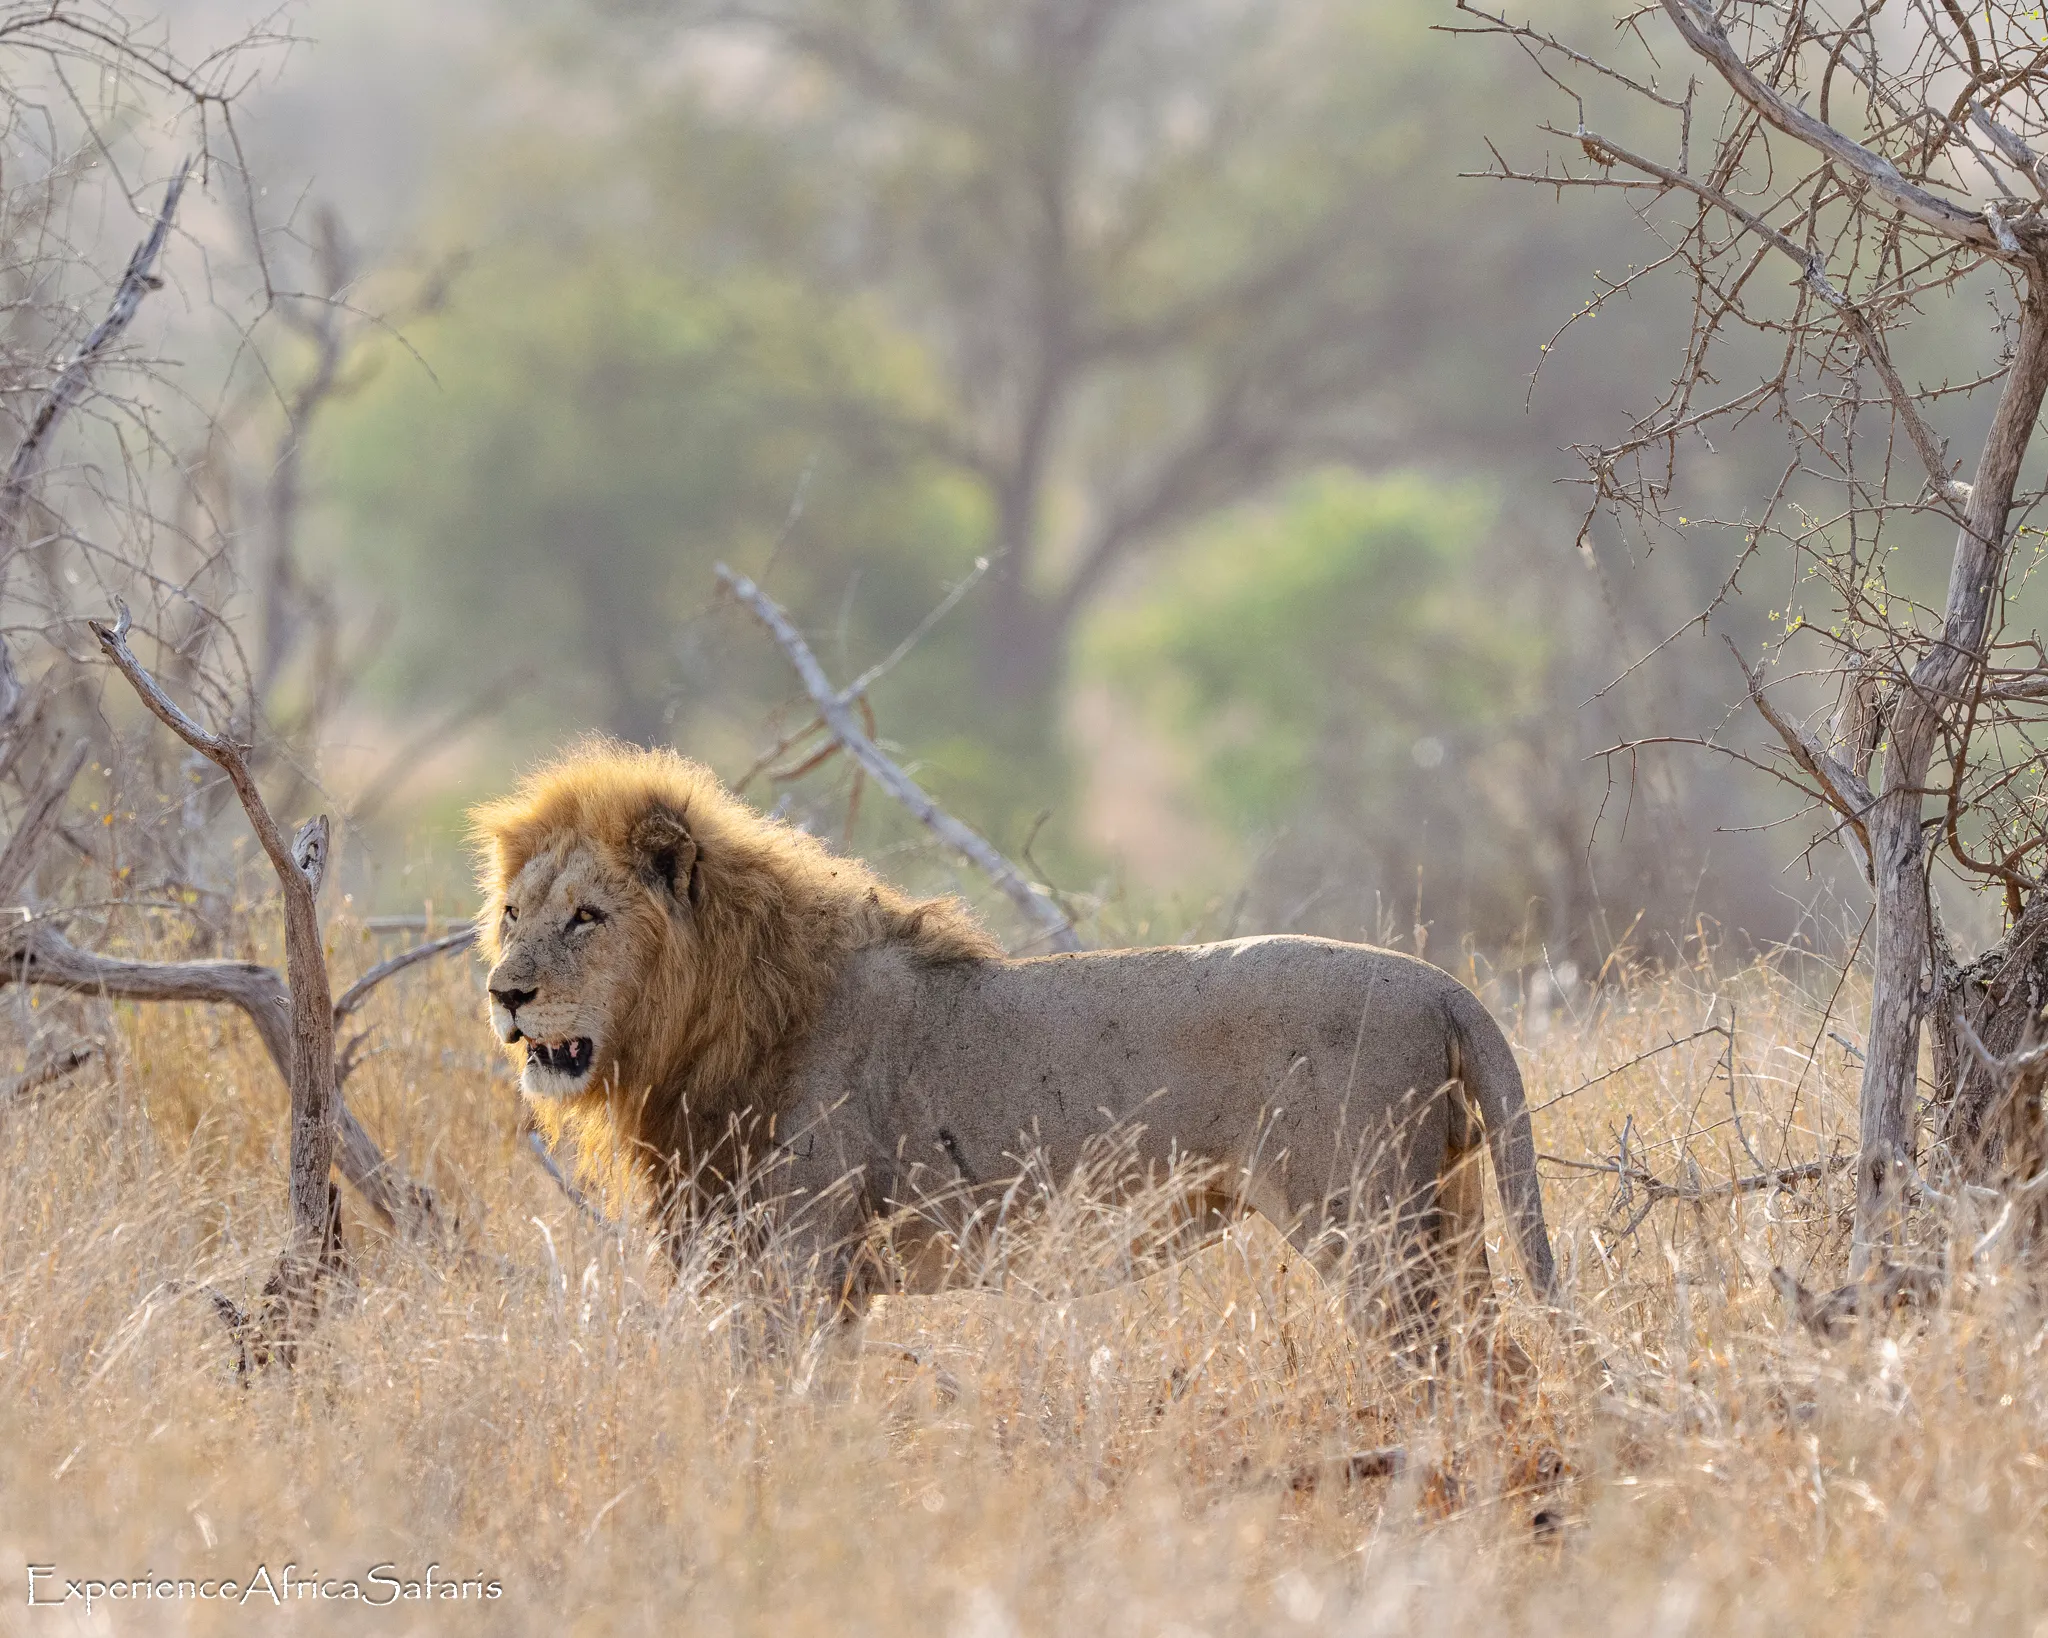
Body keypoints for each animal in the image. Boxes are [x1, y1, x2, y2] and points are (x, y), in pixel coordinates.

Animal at [471, 741, 1558, 1344]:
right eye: (514, 912)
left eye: (587, 919)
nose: (504, 993)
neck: (701, 1033)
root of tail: (1443, 986)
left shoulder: (800, 1263)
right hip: (1448, 1212)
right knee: (1491, 1359)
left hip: (1366, 1227)